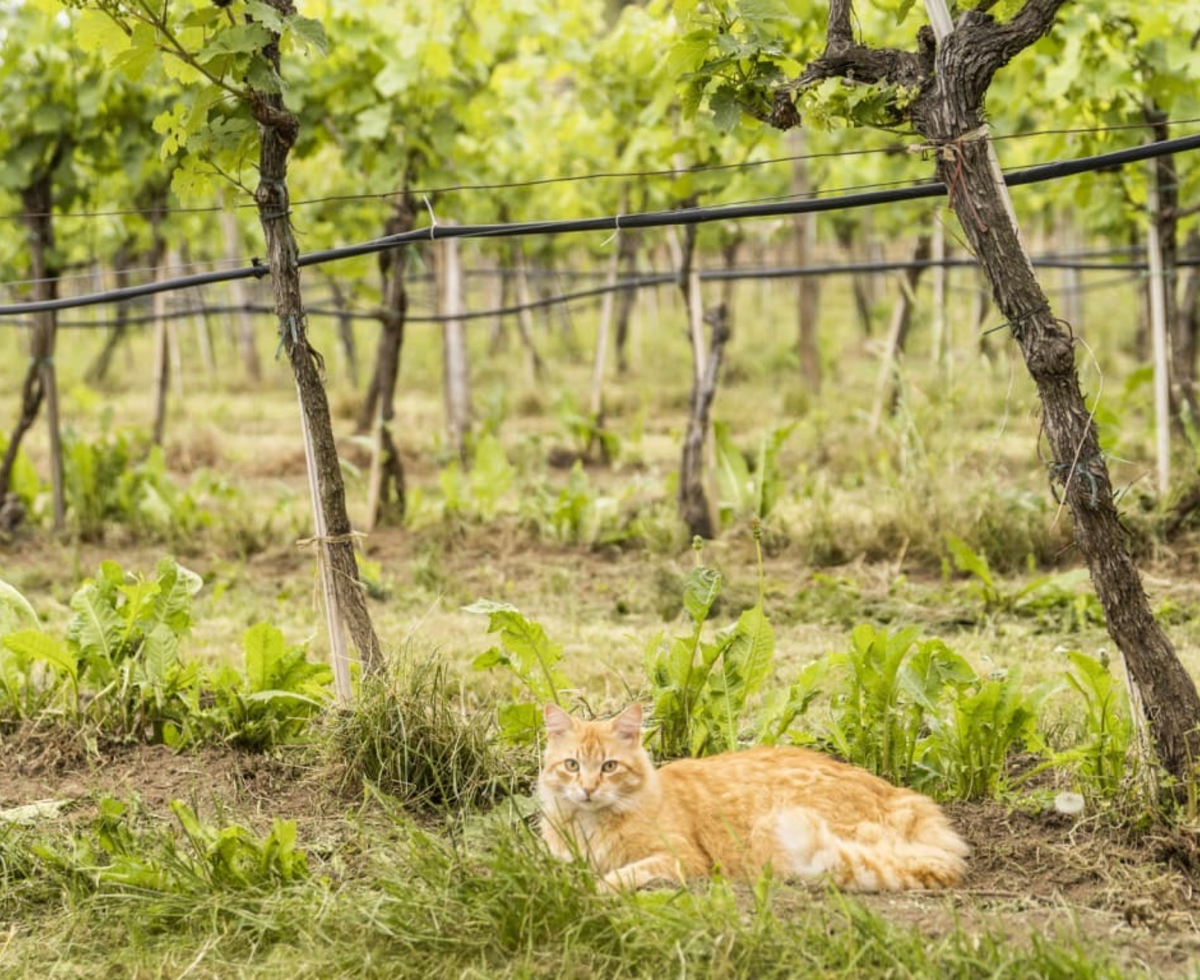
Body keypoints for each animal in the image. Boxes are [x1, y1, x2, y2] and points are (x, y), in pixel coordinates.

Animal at [540, 700, 969, 892]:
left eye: (609, 766)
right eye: (572, 765)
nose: (588, 789)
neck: (589, 828)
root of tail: (905, 798)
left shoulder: (685, 860)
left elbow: (623, 874)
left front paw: (597, 888)